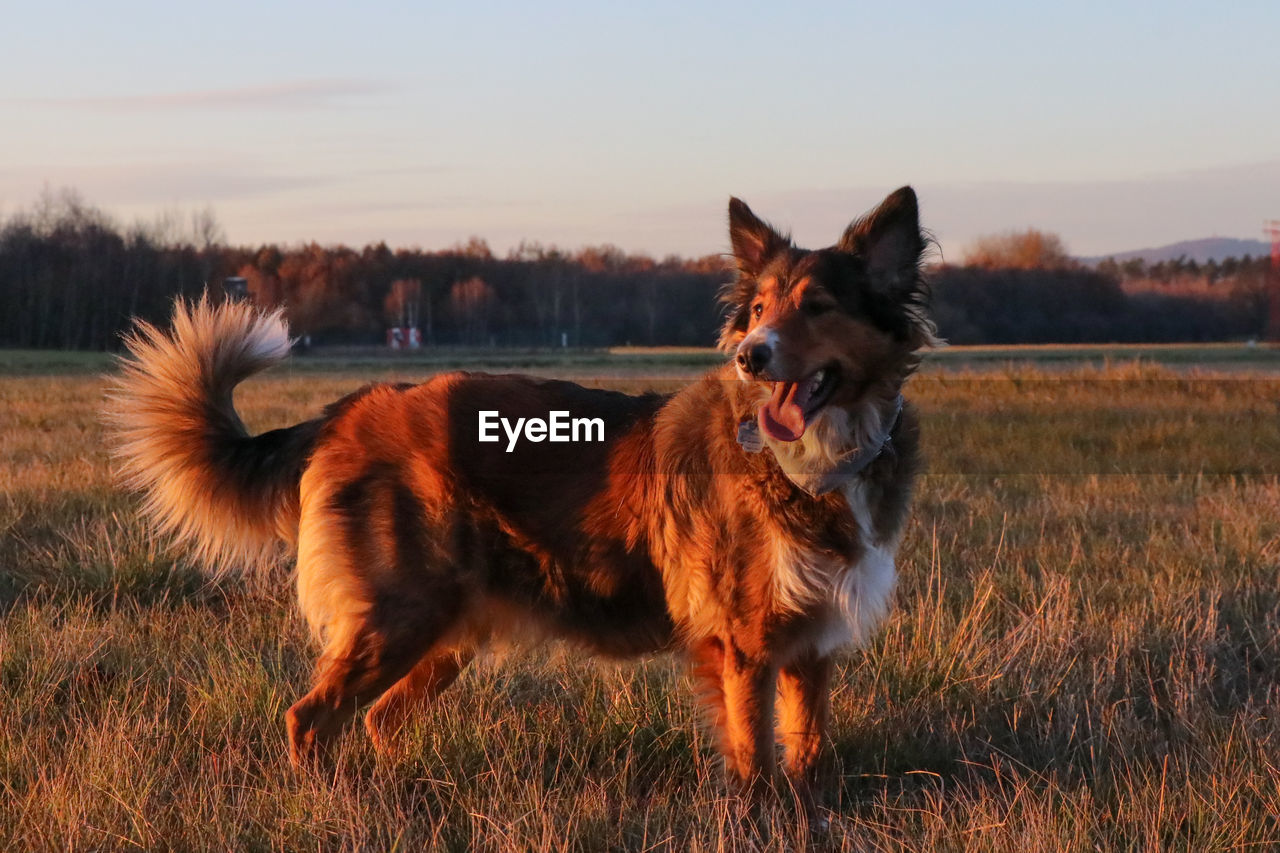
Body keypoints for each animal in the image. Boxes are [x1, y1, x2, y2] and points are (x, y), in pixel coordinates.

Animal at [107, 183, 931, 809]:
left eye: (818, 307)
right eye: (758, 310)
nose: (751, 357)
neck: (811, 460)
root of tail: (348, 409)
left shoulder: (811, 644)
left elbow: (809, 748)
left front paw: (811, 809)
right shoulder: (745, 644)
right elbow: (755, 757)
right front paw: (763, 818)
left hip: (442, 633)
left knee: (376, 720)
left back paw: (397, 789)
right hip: (400, 617)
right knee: (310, 718)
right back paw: (332, 802)